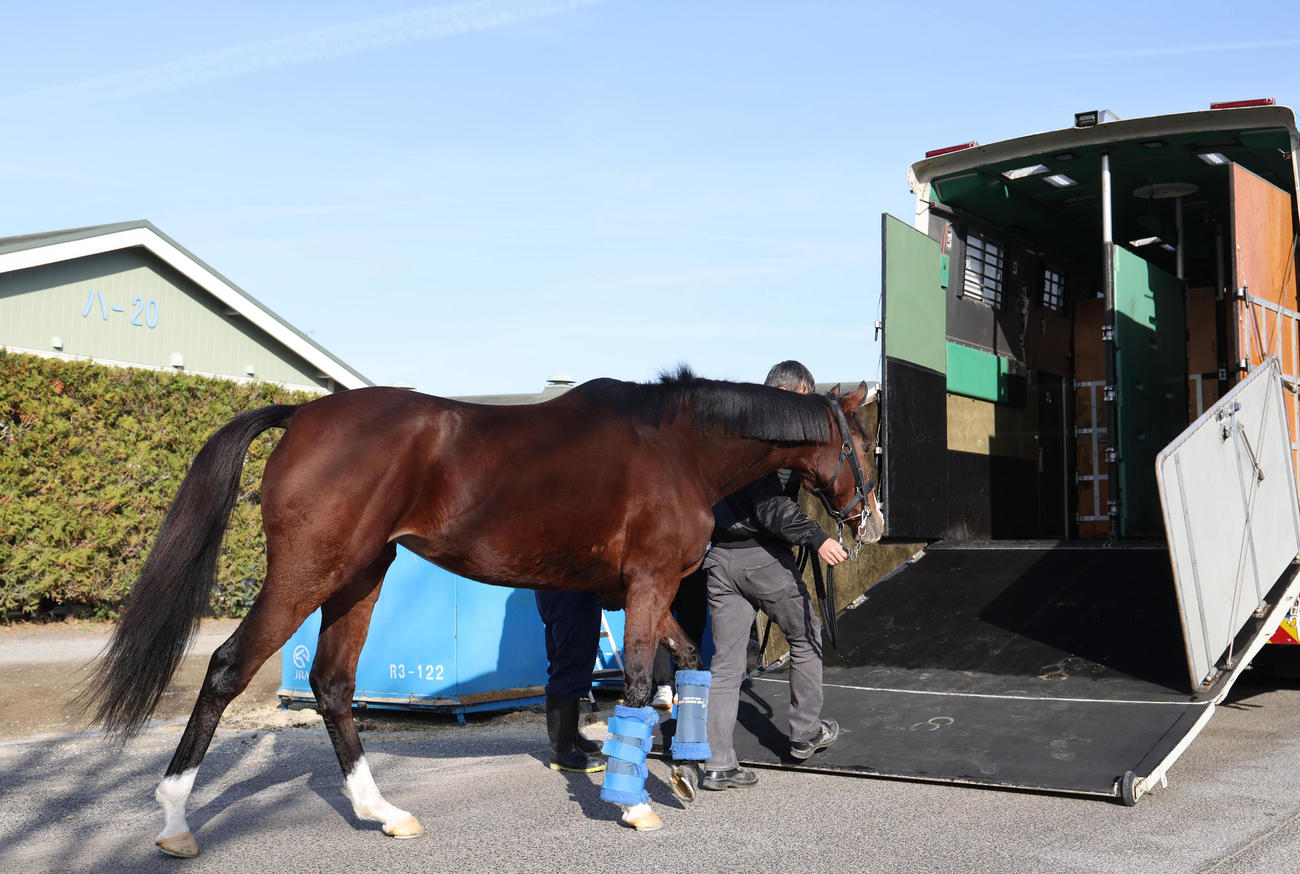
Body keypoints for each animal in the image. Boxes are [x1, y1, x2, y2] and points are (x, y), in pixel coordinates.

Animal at [81, 367, 883, 857]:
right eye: (868, 444)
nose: (872, 523)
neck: (675, 448)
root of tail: (304, 413)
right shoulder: (649, 584)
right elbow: (635, 683)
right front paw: (634, 802)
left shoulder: (642, 593)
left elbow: (682, 666)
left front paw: (683, 767)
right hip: (308, 576)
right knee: (226, 669)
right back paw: (175, 819)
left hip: (360, 577)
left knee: (333, 686)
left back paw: (383, 811)